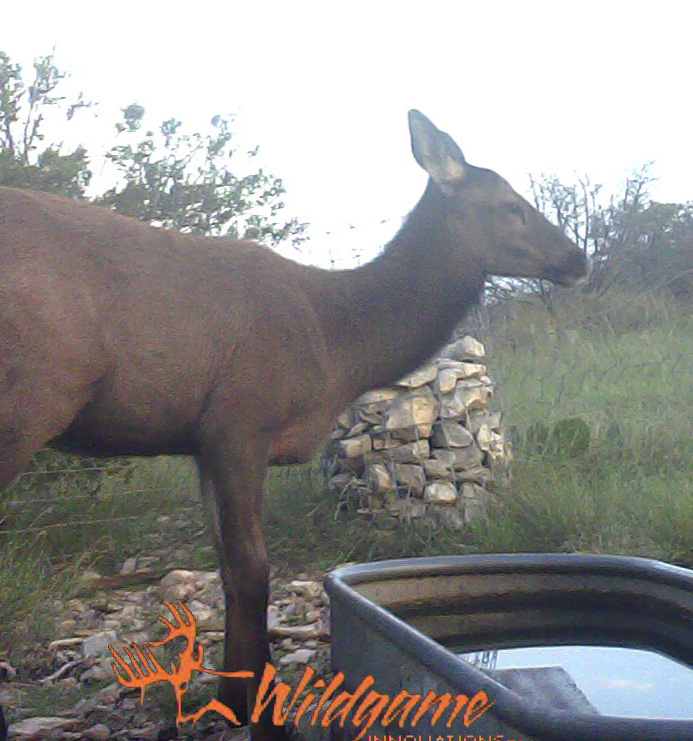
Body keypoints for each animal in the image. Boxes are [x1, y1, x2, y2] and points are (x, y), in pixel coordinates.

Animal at [0, 110, 588, 740]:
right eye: (510, 205)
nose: (579, 258)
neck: (337, 344)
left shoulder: (204, 441)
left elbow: (228, 568)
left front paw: (232, 701)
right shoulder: (241, 423)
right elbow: (253, 568)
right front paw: (265, 717)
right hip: (28, 400)